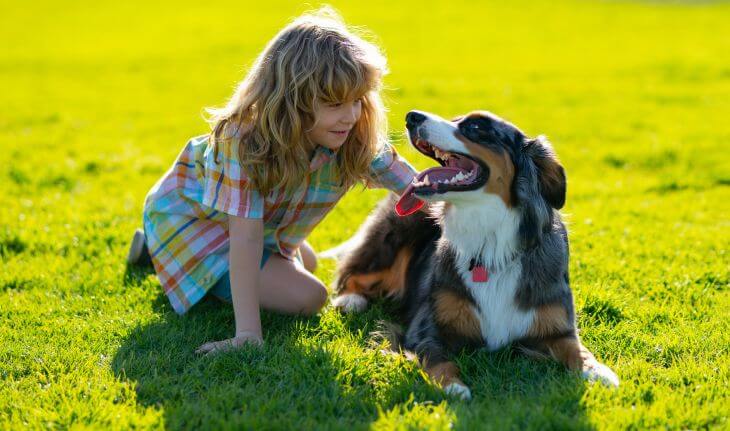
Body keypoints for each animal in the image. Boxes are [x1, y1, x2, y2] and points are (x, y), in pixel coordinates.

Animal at [332, 109, 620, 400]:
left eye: (476, 127)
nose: (412, 116)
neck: (489, 245)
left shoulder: (557, 327)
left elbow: (577, 348)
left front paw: (599, 371)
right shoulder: (427, 328)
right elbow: (438, 359)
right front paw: (454, 386)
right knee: (354, 271)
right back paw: (350, 300)